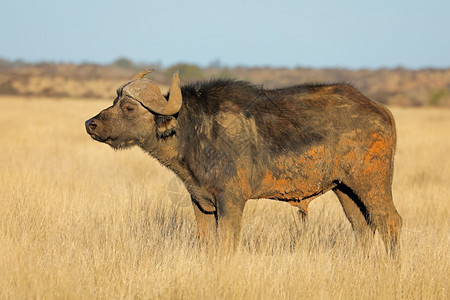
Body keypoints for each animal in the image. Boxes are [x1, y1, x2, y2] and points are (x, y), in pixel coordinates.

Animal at [86, 70, 402, 255]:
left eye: (128, 108)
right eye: (114, 102)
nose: (91, 124)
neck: (193, 129)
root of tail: (381, 110)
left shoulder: (231, 202)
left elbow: (227, 244)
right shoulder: (200, 203)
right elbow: (207, 244)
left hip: (371, 183)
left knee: (389, 222)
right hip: (344, 189)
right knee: (362, 227)